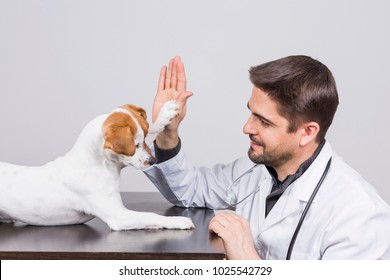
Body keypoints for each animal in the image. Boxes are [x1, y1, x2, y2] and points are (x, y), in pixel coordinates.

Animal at [0, 100, 194, 230]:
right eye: (135, 145)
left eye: (143, 140)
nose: (153, 161)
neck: (100, 165)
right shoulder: (119, 216)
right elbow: (150, 216)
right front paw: (176, 221)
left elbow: (154, 128)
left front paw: (165, 114)